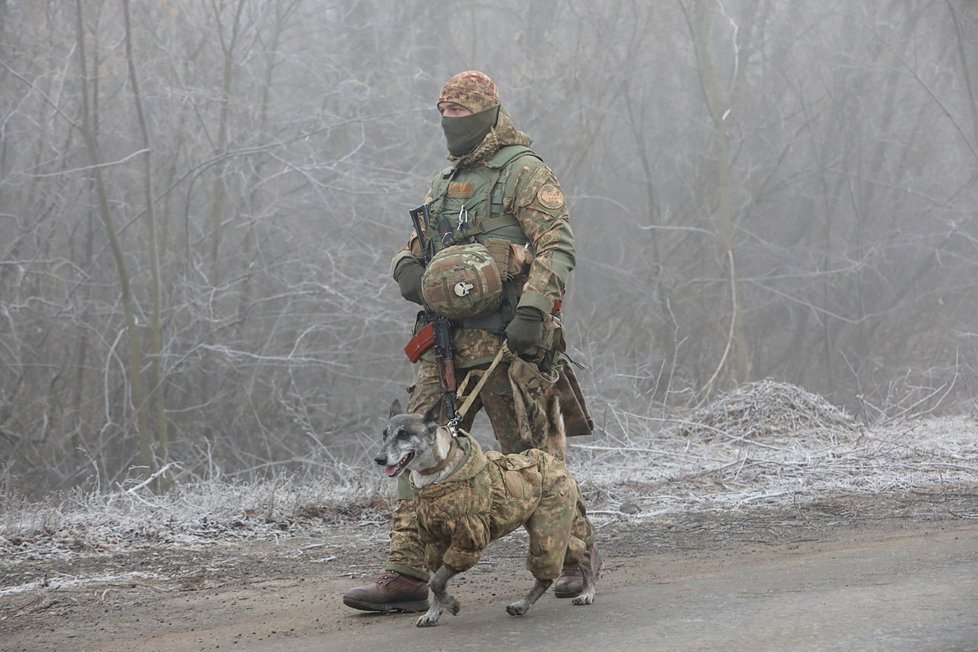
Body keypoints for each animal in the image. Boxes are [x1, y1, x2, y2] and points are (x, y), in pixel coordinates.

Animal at [376, 398, 596, 628]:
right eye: (385, 433)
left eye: (403, 434)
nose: (379, 459)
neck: (437, 475)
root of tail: (553, 458)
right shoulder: (435, 543)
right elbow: (437, 582)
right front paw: (434, 612)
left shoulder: (467, 539)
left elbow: (435, 581)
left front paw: (451, 604)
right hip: (544, 526)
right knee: (569, 557)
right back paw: (524, 605)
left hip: (549, 528)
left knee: (577, 557)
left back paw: (585, 592)